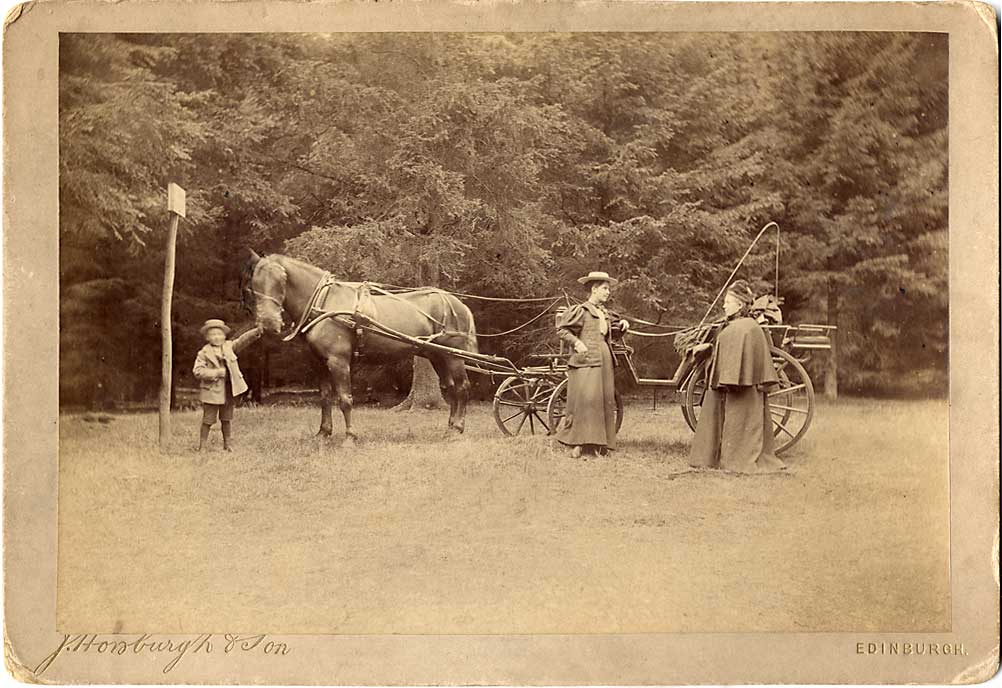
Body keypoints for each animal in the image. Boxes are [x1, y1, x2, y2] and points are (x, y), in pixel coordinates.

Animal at [240, 250, 478, 444]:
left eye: (282, 279)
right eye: (254, 284)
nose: (269, 323)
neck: (323, 303)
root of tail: (458, 304)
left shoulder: (339, 361)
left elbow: (345, 399)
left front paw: (350, 437)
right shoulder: (319, 363)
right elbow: (325, 397)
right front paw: (323, 433)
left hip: (454, 356)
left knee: (462, 387)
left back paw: (458, 428)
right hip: (438, 355)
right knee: (451, 388)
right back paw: (450, 428)